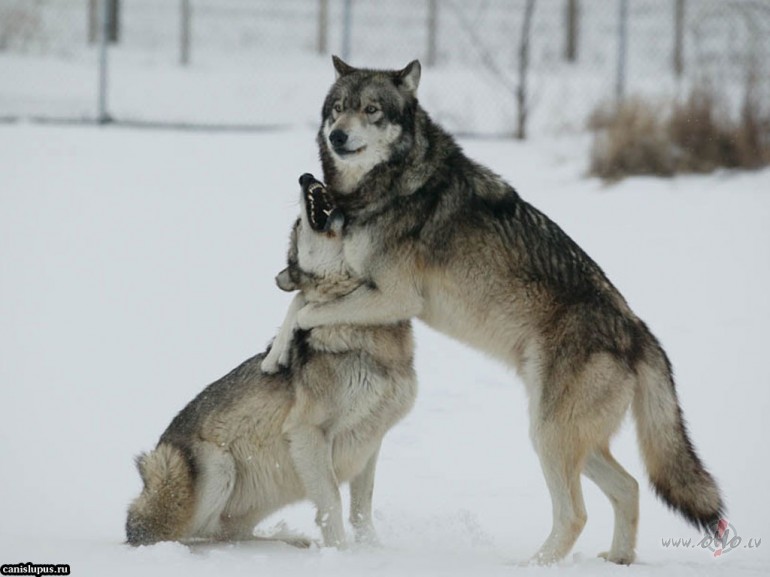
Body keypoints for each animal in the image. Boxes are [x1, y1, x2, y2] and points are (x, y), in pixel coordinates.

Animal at [125, 176, 414, 548]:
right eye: (297, 226)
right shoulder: (307, 433)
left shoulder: (371, 440)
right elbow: (332, 504)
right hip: (213, 466)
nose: (306, 177)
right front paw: (342, 553)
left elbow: (362, 509)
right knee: (186, 535)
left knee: (228, 533)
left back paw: (290, 542)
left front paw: (372, 551)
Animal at [272, 57, 724, 564]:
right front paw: (275, 352)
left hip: (548, 436)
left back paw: (533, 565)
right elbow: (298, 300)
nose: (338, 137)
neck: (385, 187)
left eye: (371, 110)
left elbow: (306, 310)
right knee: (629, 487)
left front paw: (284, 347)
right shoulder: (364, 286)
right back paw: (618, 560)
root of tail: (639, 332)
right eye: (338, 109)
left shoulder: (395, 297)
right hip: (571, 440)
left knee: (575, 514)